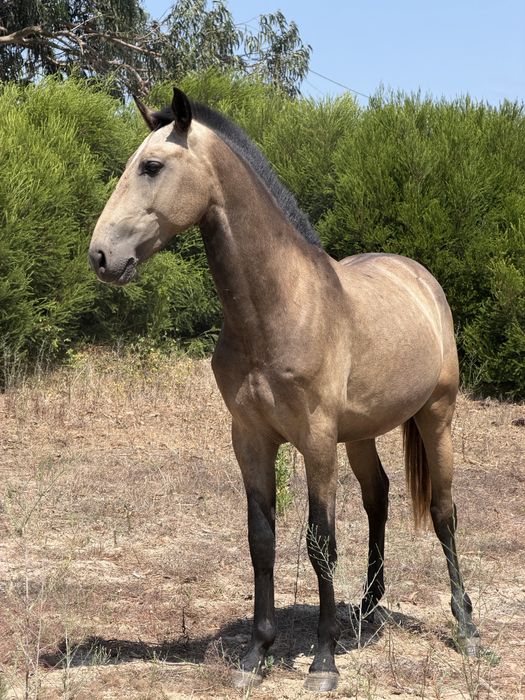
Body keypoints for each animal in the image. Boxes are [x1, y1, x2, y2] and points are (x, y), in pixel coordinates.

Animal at [88, 88, 479, 692]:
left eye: (151, 166)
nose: (102, 256)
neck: (277, 308)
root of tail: (421, 278)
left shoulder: (316, 442)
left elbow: (320, 542)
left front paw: (323, 662)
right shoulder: (250, 438)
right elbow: (262, 540)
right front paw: (257, 654)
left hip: (437, 416)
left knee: (443, 511)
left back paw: (465, 626)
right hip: (360, 434)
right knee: (378, 498)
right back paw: (366, 607)